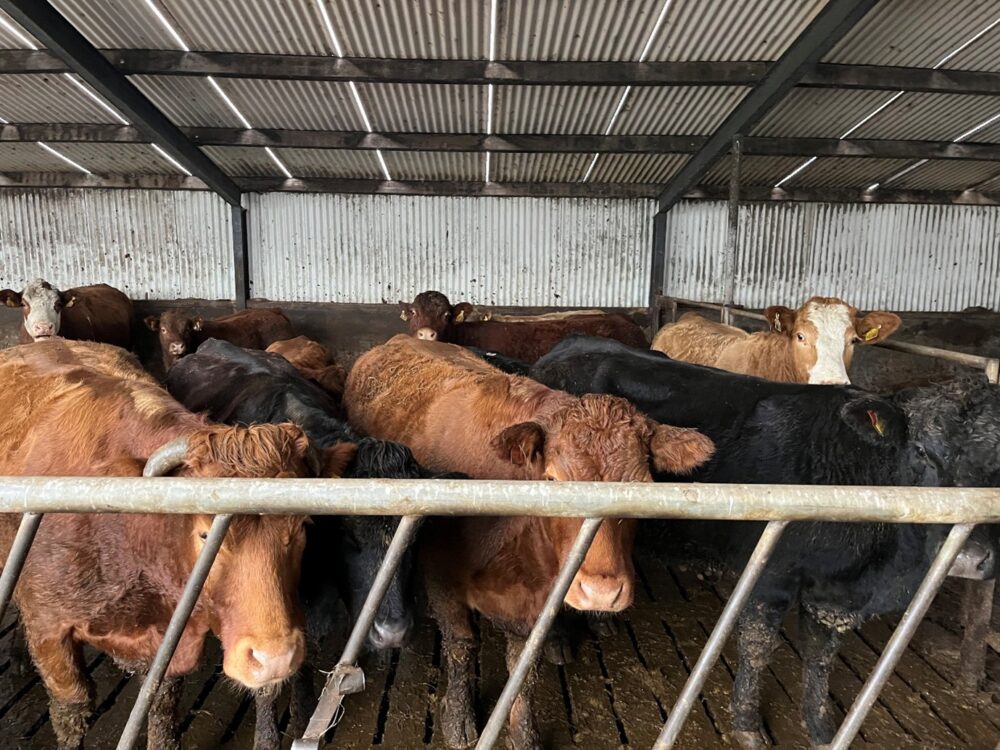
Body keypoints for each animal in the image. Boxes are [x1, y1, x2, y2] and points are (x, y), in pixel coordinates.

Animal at [0, 338, 353, 750]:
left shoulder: (170, 635)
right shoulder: (49, 631)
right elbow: (71, 712)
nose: (275, 658)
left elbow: (160, 703)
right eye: (204, 533)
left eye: (302, 527)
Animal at [344, 334, 713, 748]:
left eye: (645, 485)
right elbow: (460, 646)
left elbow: (524, 669)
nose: (602, 593)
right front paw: (458, 719)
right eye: (551, 480)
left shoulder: (537, 602)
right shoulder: (441, 578)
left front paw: (523, 733)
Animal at [529, 336, 945, 749]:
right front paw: (747, 723)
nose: (968, 555)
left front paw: (821, 725)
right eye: (922, 451)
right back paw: (558, 640)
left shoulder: (833, 595)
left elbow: (821, 656)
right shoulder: (770, 575)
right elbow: (758, 648)